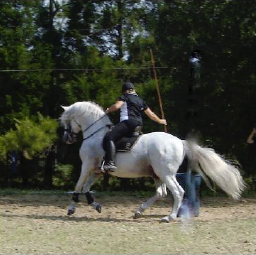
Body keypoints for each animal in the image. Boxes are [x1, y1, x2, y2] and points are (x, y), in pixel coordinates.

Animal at [60, 101, 246, 221]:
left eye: (66, 121)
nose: (66, 139)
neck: (96, 134)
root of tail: (180, 141)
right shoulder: (98, 171)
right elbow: (86, 188)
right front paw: (95, 205)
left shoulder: (87, 166)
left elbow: (78, 186)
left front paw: (71, 208)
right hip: (157, 174)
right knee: (161, 193)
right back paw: (139, 212)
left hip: (166, 174)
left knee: (178, 192)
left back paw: (169, 217)